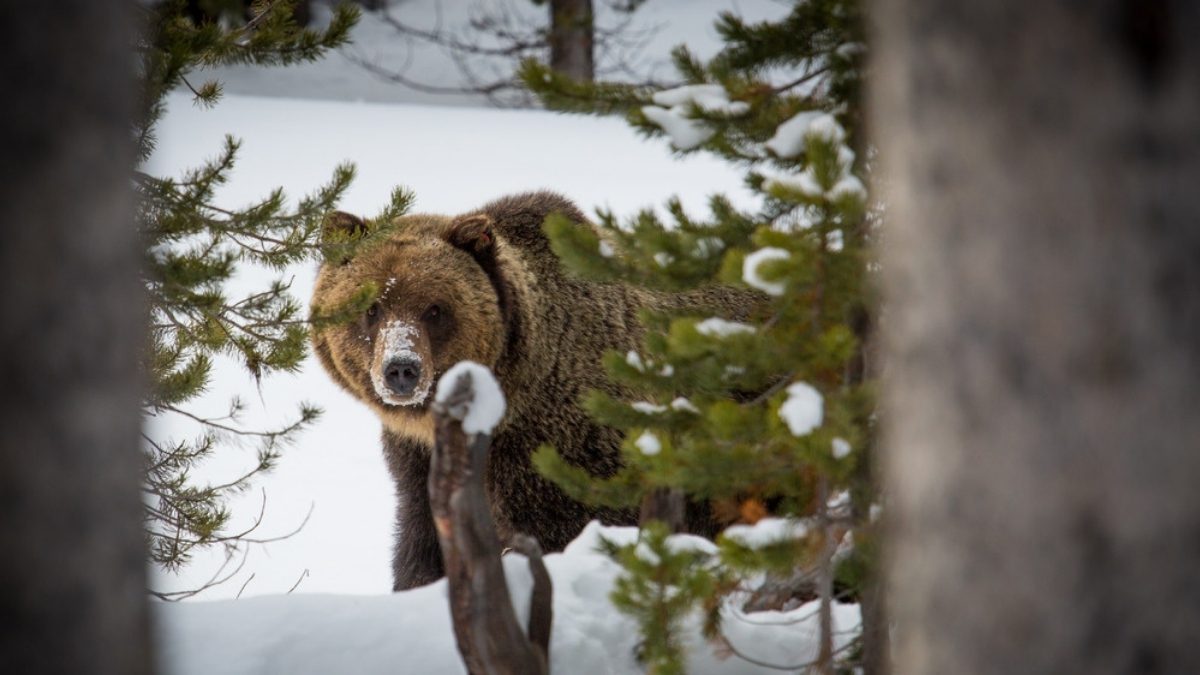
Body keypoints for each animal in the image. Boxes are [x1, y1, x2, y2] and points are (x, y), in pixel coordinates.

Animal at [312, 190, 758, 588]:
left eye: (434, 309)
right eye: (371, 308)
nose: (401, 368)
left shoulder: (561, 452)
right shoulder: (418, 461)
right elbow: (423, 546)